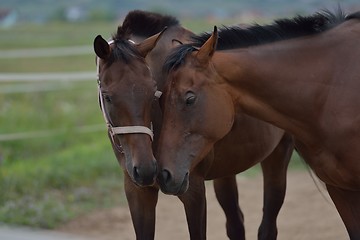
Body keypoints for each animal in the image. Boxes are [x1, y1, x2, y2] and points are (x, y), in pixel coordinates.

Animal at [95, 10, 292, 239]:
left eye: (152, 90)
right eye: (107, 96)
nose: (145, 168)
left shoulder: (193, 191)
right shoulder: (137, 191)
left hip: (278, 156)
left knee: (268, 225)